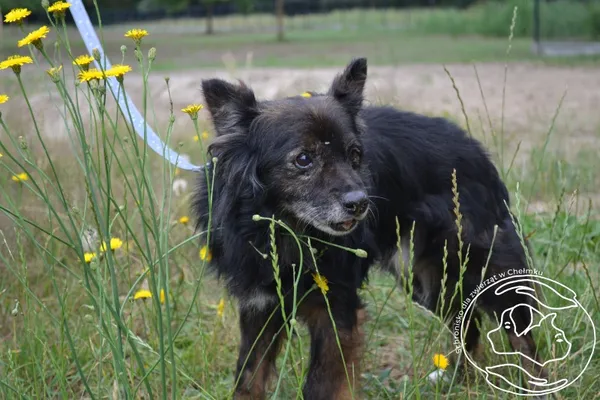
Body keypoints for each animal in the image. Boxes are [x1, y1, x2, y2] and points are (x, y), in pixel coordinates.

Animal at [193, 57, 544, 398]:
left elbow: (321, 385)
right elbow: (247, 379)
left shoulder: (336, 309)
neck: (287, 230)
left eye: (354, 155)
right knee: (467, 321)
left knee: (521, 336)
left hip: (481, 267)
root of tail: (476, 149)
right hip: (425, 280)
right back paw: (453, 378)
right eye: (303, 159)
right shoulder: (260, 308)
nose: (360, 203)